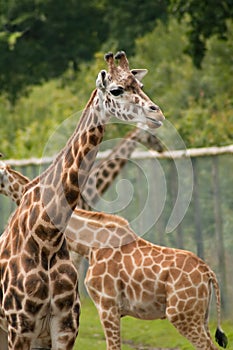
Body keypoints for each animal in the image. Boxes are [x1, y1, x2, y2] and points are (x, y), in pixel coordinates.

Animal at [0, 52, 164, 350]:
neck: (46, 236)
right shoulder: (19, 327)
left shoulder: (64, 326)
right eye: (116, 90)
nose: (156, 113)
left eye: (140, 86)